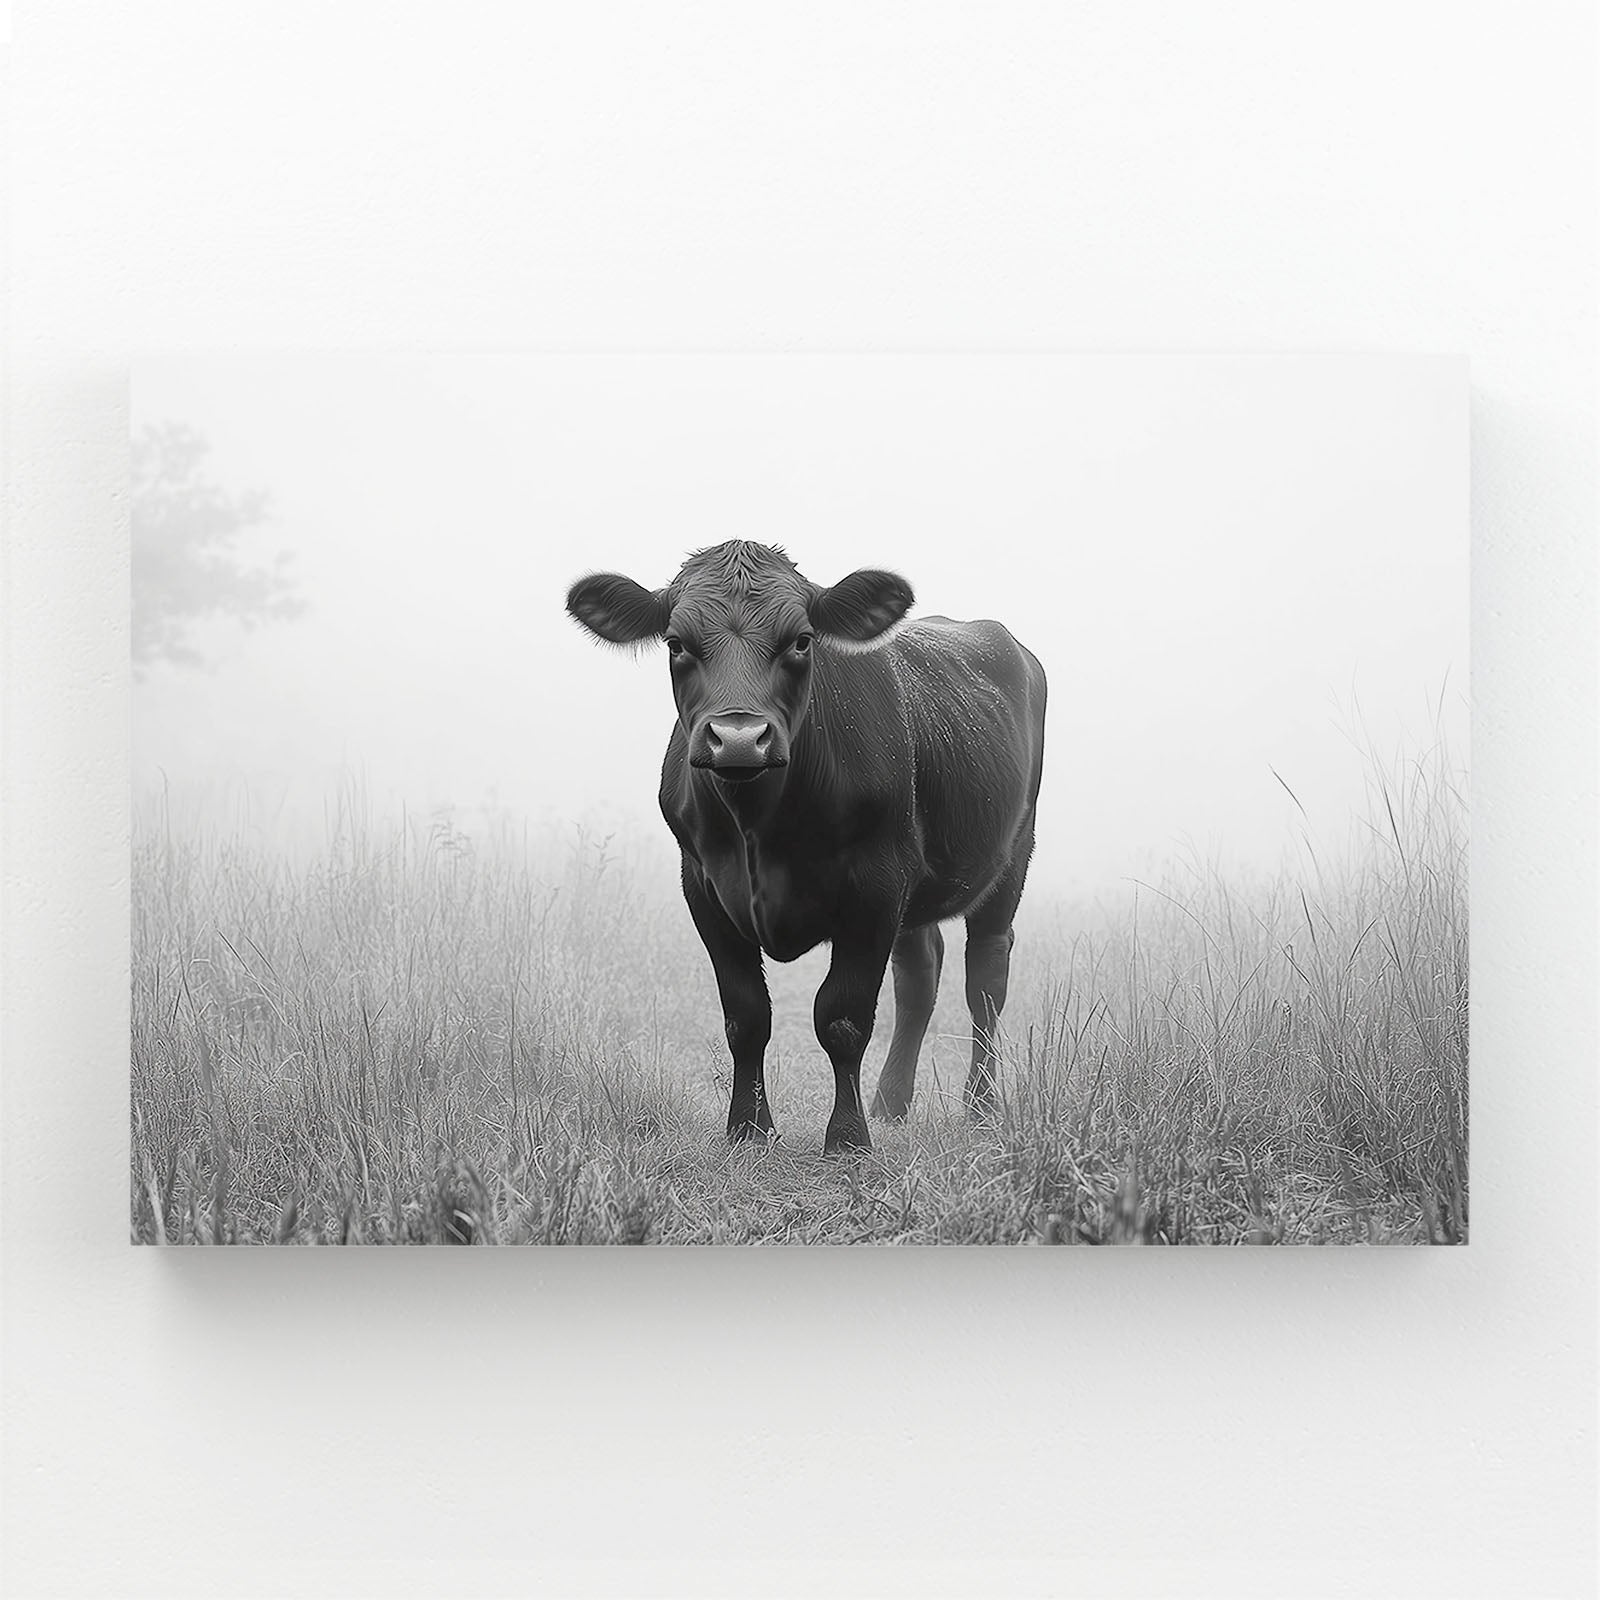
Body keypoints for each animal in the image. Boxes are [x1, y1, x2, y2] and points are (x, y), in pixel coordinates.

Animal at [566, 541, 1047, 1153]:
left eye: (801, 640)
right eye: (676, 644)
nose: (739, 739)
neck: (761, 825)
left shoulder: (876, 887)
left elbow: (842, 1018)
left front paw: (846, 1138)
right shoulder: (702, 886)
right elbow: (746, 1016)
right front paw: (748, 1129)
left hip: (1012, 855)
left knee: (985, 979)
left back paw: (979, 1106)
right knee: (920, 976)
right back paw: (891, 1103)